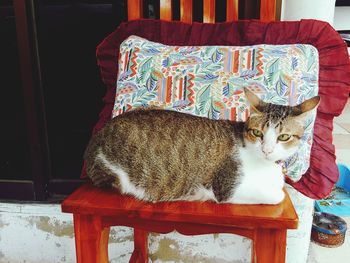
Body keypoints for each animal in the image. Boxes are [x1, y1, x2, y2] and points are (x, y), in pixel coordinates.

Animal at [85, 89, 320, 205]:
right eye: (257, 133)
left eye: (284, 137)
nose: (267, 150)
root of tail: (95, 139)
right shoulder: (228, 189)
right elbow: (277, 195)